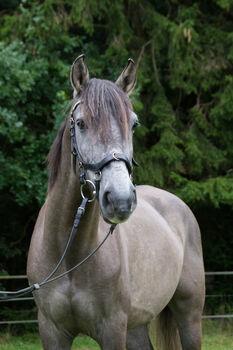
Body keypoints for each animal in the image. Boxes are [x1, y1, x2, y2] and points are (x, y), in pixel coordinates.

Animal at [27, 54, 205, 350]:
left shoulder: (112, 330)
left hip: (189, 315)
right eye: (81, 123)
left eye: (133, 124)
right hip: (135, 326)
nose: (120, 200)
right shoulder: (52, 331)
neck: (69, 253)